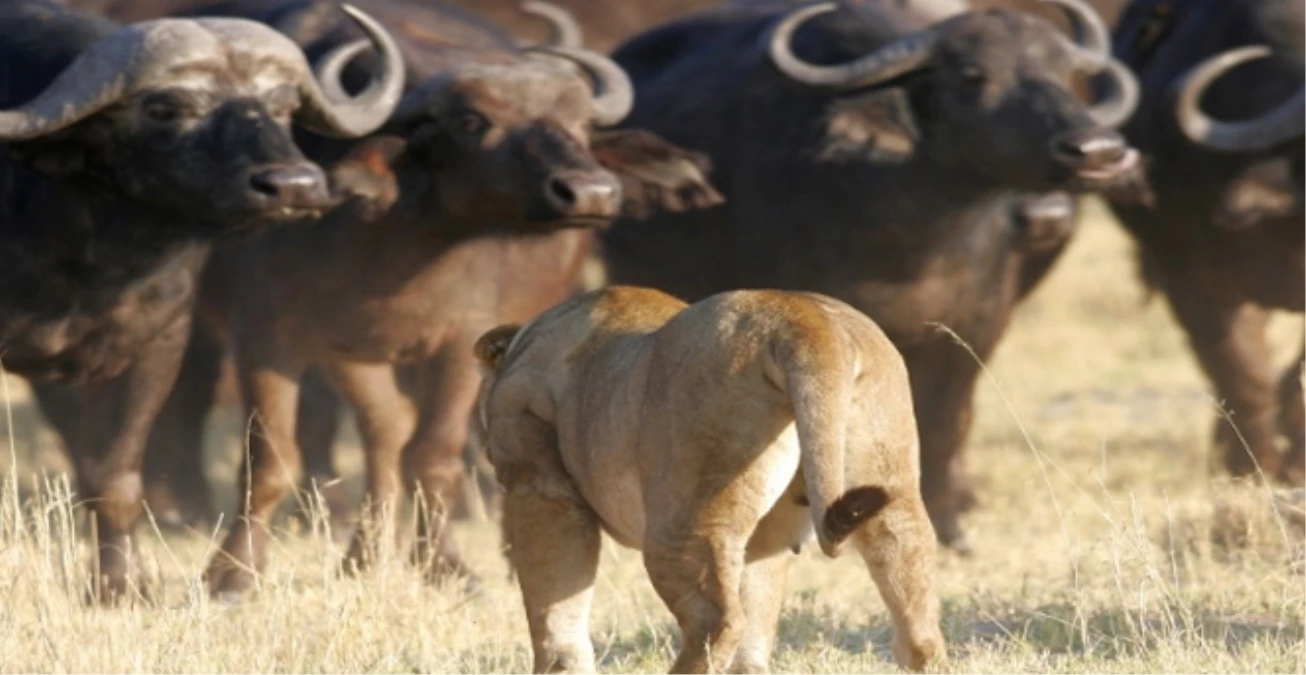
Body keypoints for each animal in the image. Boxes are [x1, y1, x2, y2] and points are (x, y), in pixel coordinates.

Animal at [0, 0, 399, 600]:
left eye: (283, 107)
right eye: (167, 108)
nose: (294, 185)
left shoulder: (157, 345)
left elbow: (113, 474)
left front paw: (120, 585)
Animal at [600, 0, 1144, 548]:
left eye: (1065, 71)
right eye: (972, 75)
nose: (1097, 149)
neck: (916, 241)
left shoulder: (975, 328)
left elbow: (946, 422)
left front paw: (948, 527)